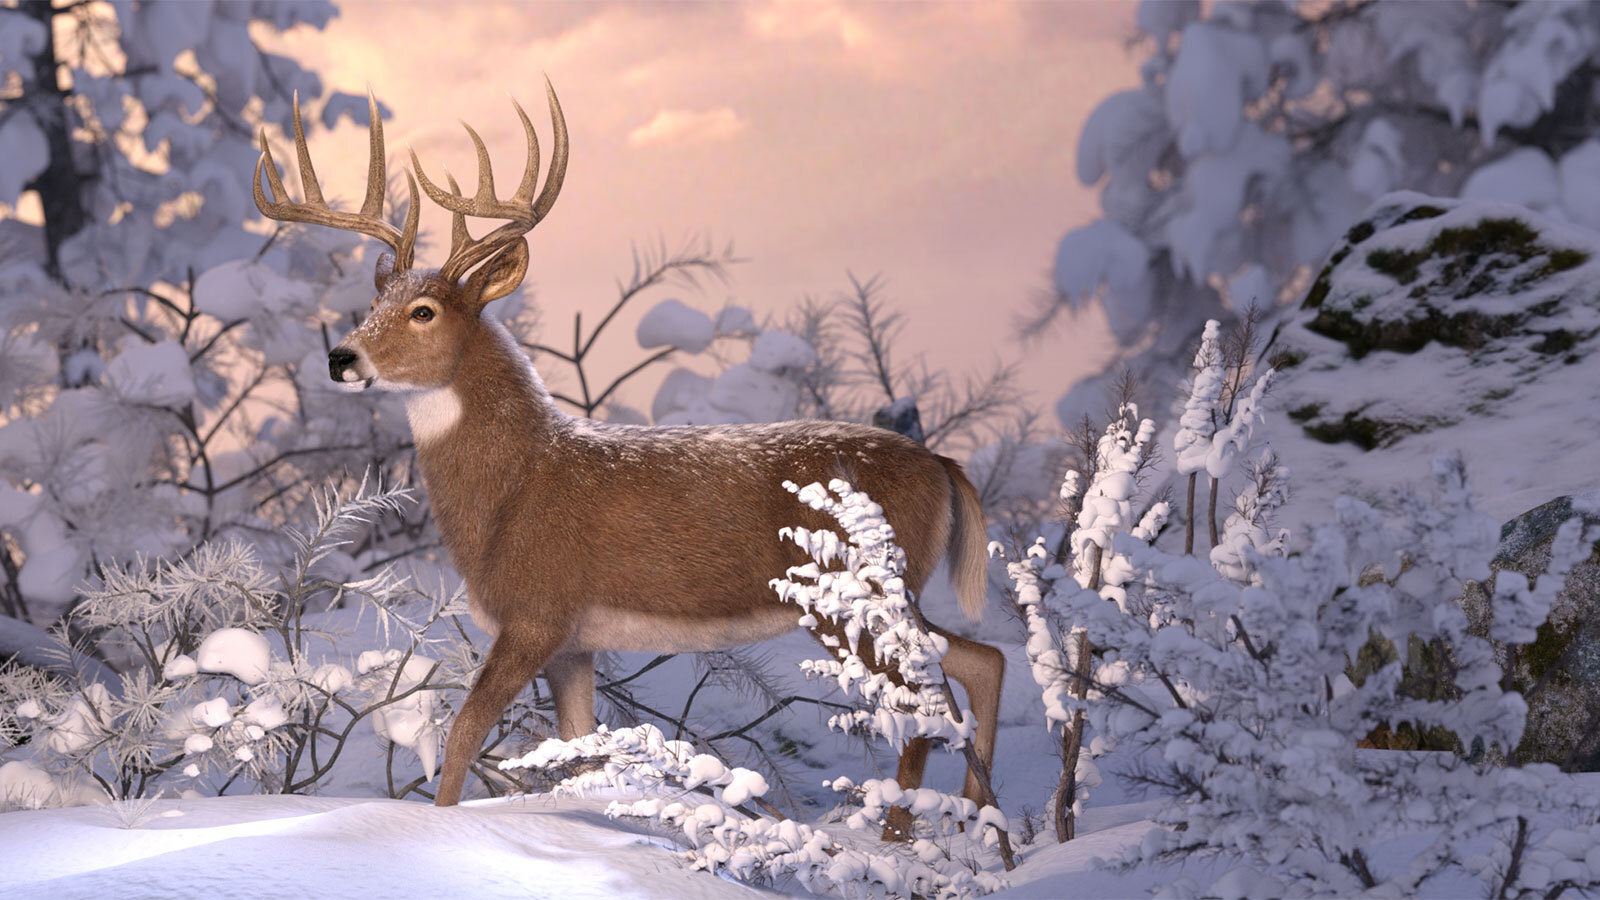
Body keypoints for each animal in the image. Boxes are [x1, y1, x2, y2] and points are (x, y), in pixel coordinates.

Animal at [252, 83, 1006, 839]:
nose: (341, 357)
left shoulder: (538, 612)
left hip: (859, 593)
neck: (512, 491)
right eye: (374, 300)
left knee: (923, 702)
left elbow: (463, 736)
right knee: (982, 661)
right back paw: (983, 823)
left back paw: (910, 838)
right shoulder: (574, 643)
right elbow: (580, 751)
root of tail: (943, 464)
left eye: (425, 310)